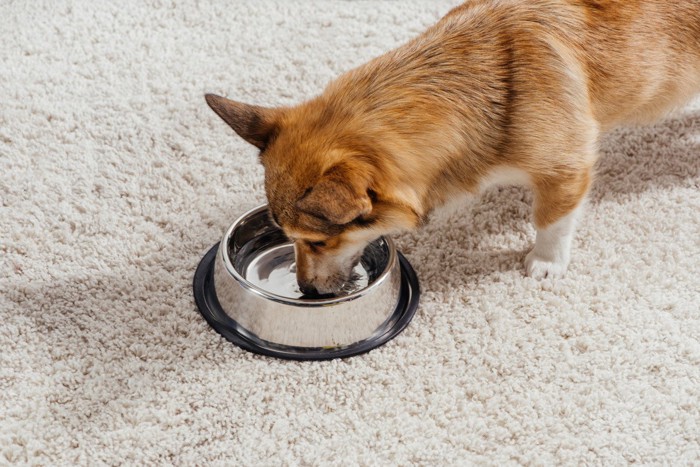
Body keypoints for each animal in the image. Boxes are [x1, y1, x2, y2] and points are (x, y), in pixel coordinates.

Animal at [206, 0, 700, 296]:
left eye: (319, 241)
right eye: (287, 239)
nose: (305, 291)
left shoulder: (567, 168)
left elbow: (550, 220)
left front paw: (545, 262)